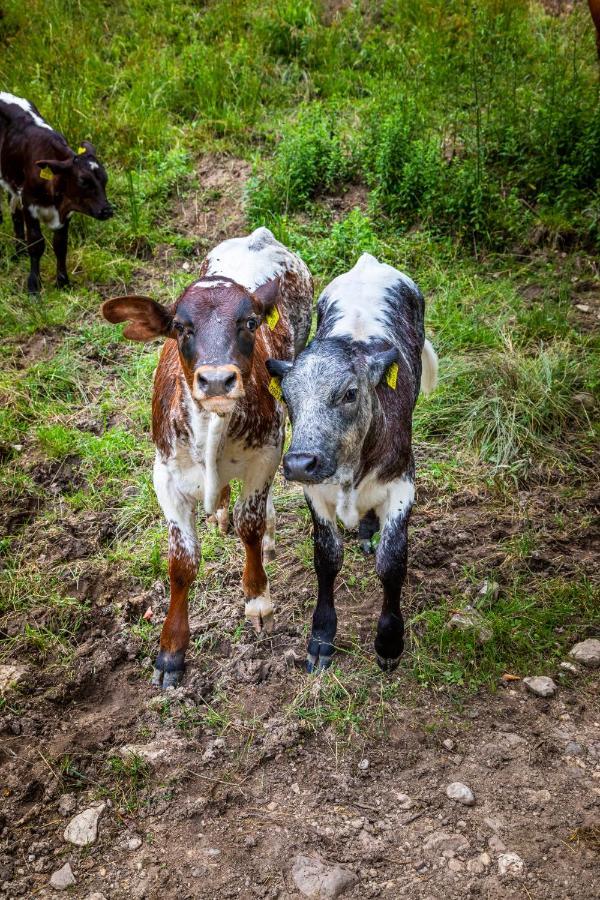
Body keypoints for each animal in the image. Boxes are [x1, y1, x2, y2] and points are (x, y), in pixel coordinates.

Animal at [0, 90, 112, 292]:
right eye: (83, 181)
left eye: (105, 179)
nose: (107, 210)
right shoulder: (29, 203)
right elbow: (36, 244)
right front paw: (34, 285)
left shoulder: (65, 212)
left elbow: (60, 246)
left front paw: (63, 282)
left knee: (14, 213)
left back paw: (18, 252)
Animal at [270, 251, 438, 668]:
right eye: (287, 396)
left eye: (348, 393)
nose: (300, 463)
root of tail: (368, 262)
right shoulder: (316, 493)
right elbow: (327, 558)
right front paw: (321, 636)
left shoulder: (402, 482)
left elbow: (391, 562)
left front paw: (389, 642)